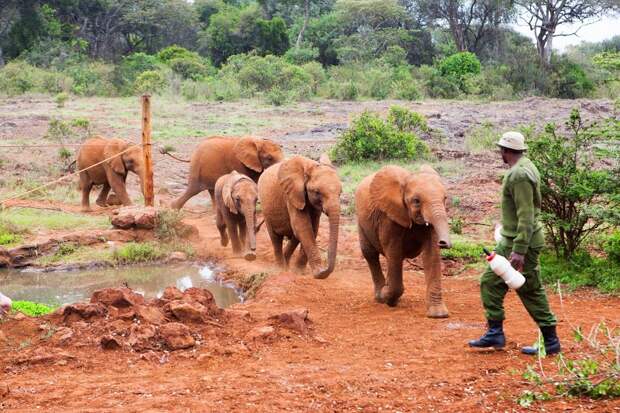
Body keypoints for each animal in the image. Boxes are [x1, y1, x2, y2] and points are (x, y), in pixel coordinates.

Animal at [356, 163, 452, 318]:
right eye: (416, 201)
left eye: (445, 198)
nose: (443, 243)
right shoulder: (388, 217)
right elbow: (393, 251)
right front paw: (387, 297)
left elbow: (431, 255)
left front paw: (438, 315)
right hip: (361, 220)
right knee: (370, 254)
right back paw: (381, 296)